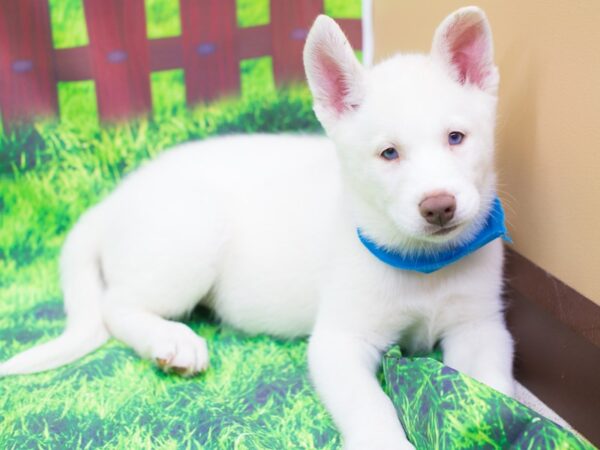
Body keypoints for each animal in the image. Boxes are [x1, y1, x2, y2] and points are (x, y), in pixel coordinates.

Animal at [1, 7, 516, 450]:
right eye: (388, 153)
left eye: (456, 138)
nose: (439, 207)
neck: (426, 264)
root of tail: (112, 200)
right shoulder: (339, 341)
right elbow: (370, 405)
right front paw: (384, 442)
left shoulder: (480, 326)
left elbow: (493, 388)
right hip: (192, 241)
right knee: (115, 306)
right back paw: (172, 341)